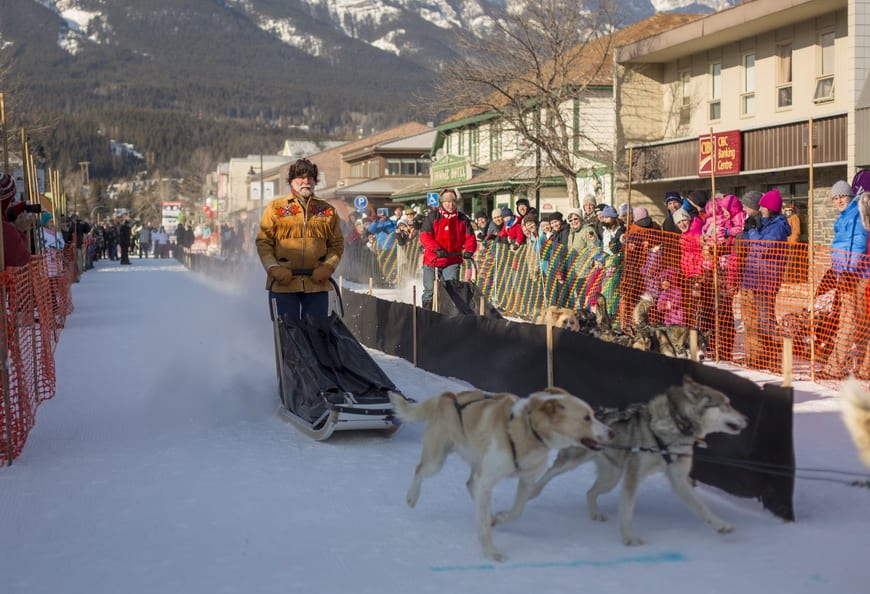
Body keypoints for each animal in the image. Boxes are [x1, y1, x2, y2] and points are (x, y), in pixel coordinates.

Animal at [388, 386, 612, 560]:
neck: (526, 429)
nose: (611, 432)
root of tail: (448, 395)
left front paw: (500, 517)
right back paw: (412, 496)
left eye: (593, 414)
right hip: (436, 461)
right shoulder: (488, 478)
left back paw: (489, 515)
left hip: (477, 465)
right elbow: (485, 527)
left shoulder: (526, 480)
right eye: (586, 417)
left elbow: (518, 509)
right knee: (420, 470)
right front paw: (491, 552)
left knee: (471, 485)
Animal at [528, 376, 752, 544]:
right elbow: (627, 511)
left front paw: (721, 525)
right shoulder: (633, 477)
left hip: (611, 478)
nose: (748, 420)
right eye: (726, 405)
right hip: (573, 462)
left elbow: (701, 507)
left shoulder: (679, 479)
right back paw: (533, 491)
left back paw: (595, 513)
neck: (675, 426)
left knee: (590, 492)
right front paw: (629, 538)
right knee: (549, 473)